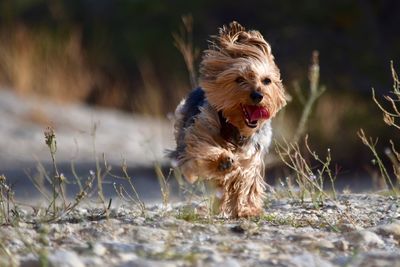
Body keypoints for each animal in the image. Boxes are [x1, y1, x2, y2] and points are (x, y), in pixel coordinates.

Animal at [167, 21, 286, 218]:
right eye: (239, 79)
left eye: (267, 81)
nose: (258, 95)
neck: (237, 127)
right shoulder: (200, 131)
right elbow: (203, 148)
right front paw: (223, 160)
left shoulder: (252, 155)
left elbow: (246, 180)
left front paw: (246, 209)